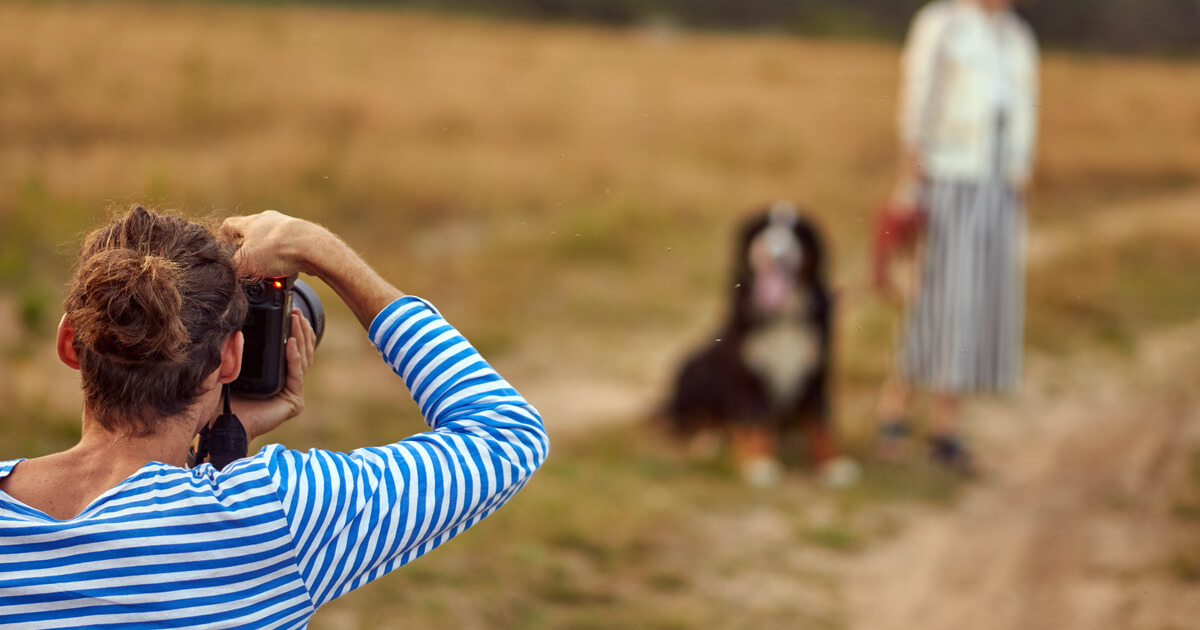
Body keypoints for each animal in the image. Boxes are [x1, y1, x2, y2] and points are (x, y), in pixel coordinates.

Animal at [667, 201, 854, 487]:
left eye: (798, 232)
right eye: (763, 229)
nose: (777, 255)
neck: (783, 315)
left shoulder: (816, 370)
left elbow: (821, 423)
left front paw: (833, 464)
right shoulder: (750, 373)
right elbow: (756, 421)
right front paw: (760, 464)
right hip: (694, 369)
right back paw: (710, 443)